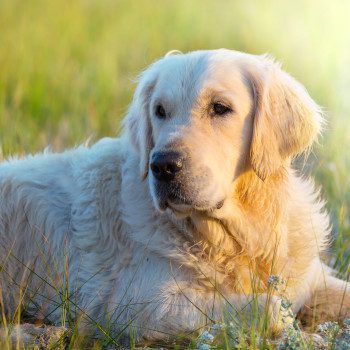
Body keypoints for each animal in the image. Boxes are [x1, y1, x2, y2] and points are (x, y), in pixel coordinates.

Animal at [0, 49, 350, 342]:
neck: (238, 237)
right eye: (160, 111)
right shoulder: (135, 305)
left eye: (220, 108)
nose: (162, 166)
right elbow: (268, 307)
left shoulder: (310, 276)